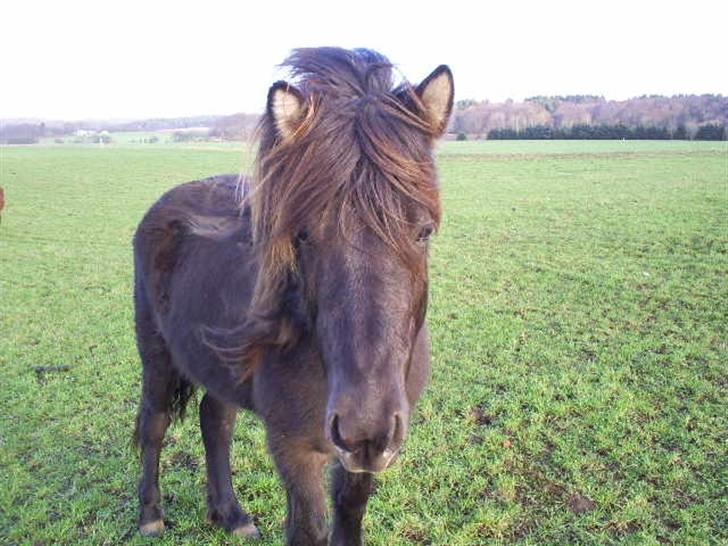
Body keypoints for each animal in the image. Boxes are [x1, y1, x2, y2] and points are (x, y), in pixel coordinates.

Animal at [133, 49, 452, 540]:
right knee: (155, 421)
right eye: (303, 236)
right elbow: (308, 528)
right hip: (157, 354)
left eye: (423, 232)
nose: (365, 426)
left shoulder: (359, 461)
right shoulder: (295, 449)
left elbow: (349, 517)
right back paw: (150, 514)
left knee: (215, 421)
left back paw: (231, 514)